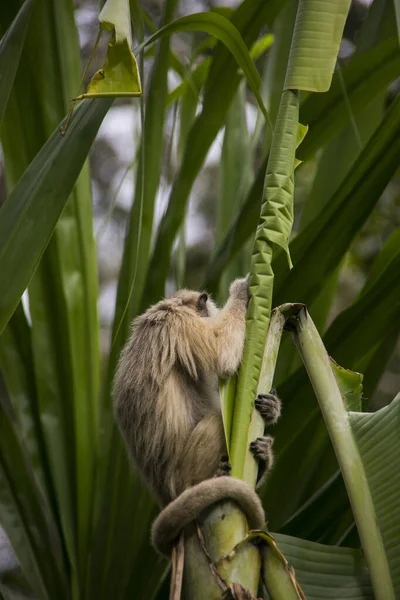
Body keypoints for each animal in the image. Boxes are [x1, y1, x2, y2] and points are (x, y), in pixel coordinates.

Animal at [112, 278, 282, 556]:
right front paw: (242, 291)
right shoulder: (179, 323)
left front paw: (272, 408)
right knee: (215, 421)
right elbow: (221, 354)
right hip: (182, 473)